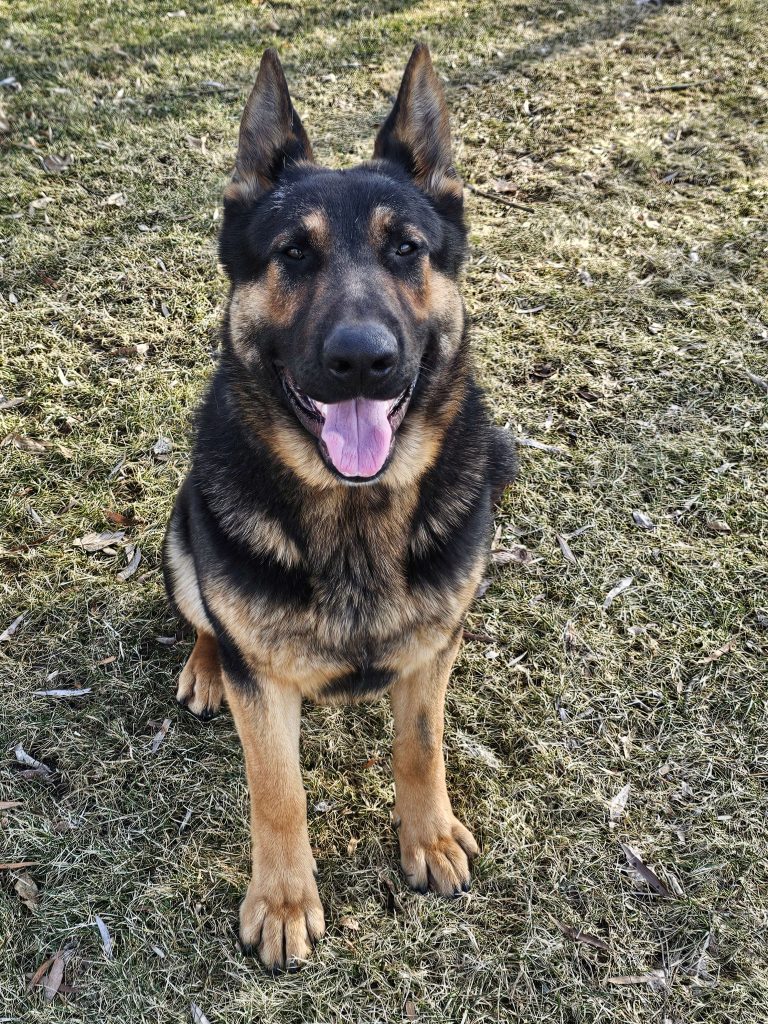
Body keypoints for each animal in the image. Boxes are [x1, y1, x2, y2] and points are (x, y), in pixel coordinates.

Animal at [163, 43, 516, 971]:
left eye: (406, 249)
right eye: (292, 252)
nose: (364, 360)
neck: (354, 519)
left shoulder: (434, 651)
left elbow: (419, 748)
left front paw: (427, 838)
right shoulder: (263, 691)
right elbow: (276, 790)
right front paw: (284, 900)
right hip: (182, 537)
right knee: (206, 615)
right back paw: (205, 665)